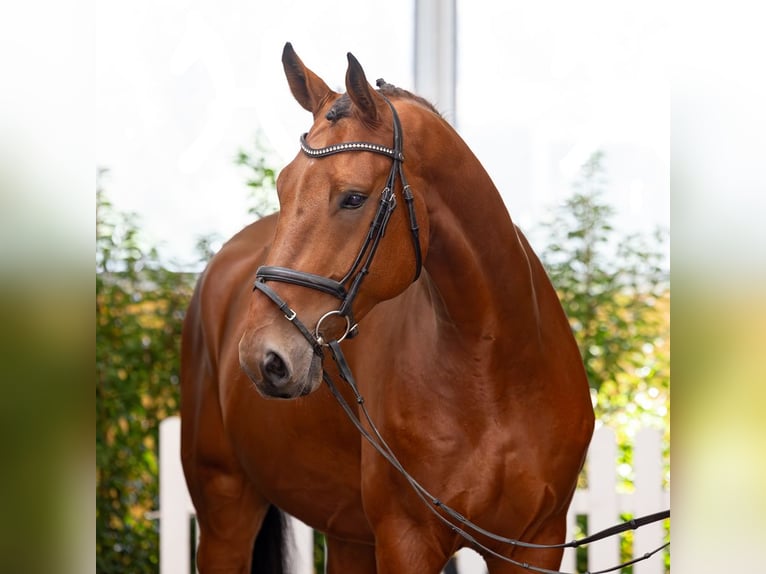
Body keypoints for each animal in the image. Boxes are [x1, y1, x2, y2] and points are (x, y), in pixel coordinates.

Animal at [181, 43, 594, 574]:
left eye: (354, 198)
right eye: (282, 186)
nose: (262, 358)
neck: (495, 368)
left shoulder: (535, 544)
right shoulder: (406, 538)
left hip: (347, 533)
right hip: (224, 512)